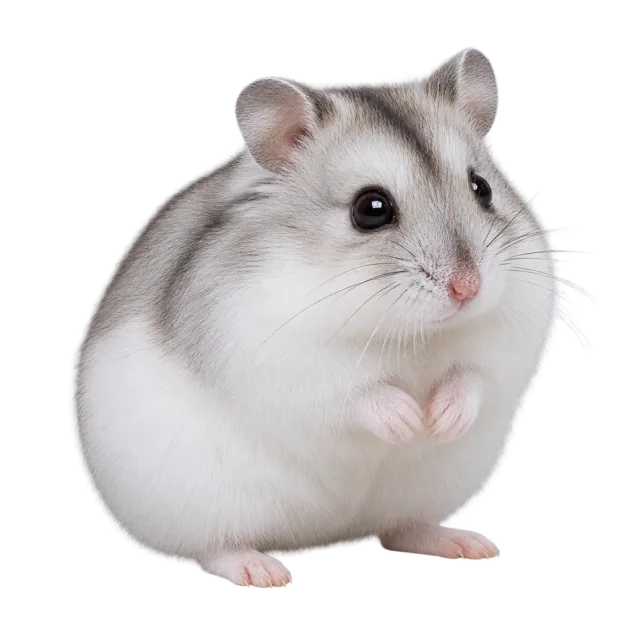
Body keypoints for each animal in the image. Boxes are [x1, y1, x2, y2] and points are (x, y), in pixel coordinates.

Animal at [70, 49, 561, 589]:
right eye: (371, 209)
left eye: (482, 188)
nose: (467, 289)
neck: (411, 332)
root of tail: (320, 539)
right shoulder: (289, 361)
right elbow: (355, 392)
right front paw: (411, 421)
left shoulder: (509, 342)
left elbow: (475, 376)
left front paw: (440, 421)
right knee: (212, 548)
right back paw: (264, 572)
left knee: (401, 527)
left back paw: (470, 544)